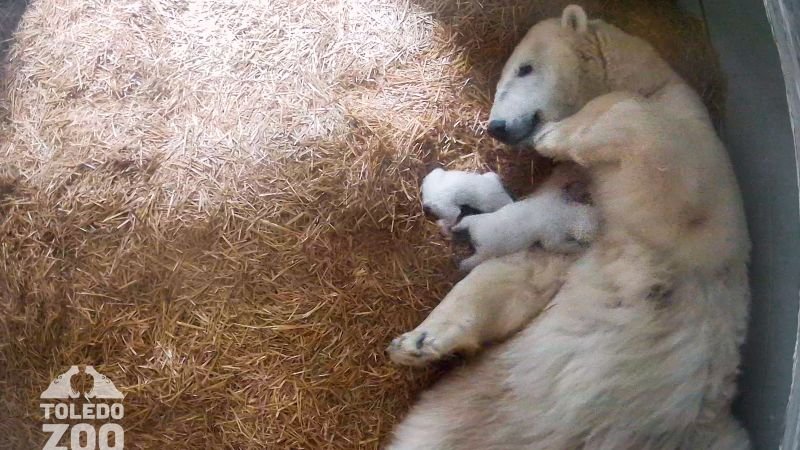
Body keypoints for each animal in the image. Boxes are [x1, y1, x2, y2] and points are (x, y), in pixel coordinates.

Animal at [386, 5, 751, 449]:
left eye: (524, 68)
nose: (497, 127)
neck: (648, 81)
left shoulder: (698, 157)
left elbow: (658, 168)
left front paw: (555, 135)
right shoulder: (564, 201)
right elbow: (523, 271)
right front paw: (416, 342)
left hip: (709, 427)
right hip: (463, 410)